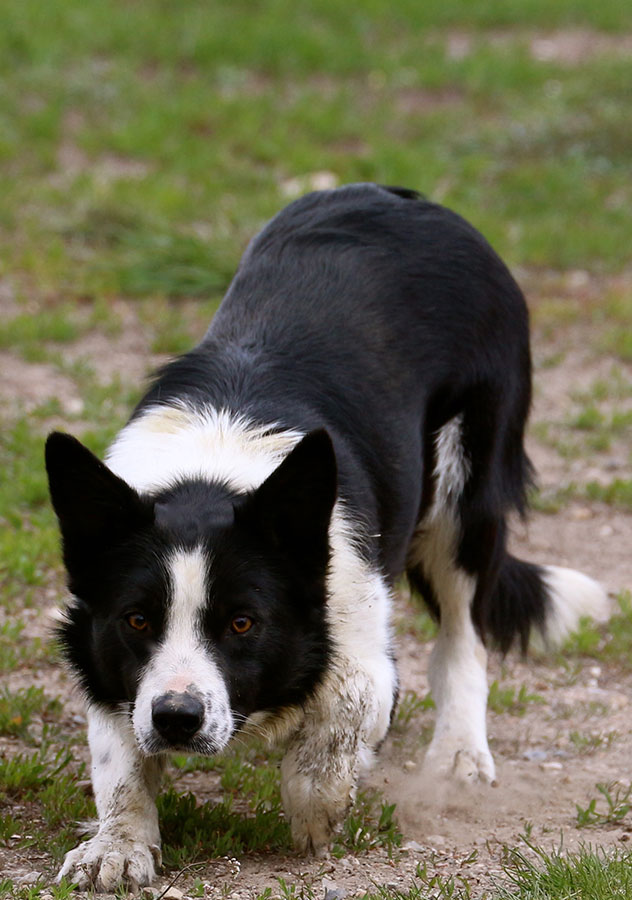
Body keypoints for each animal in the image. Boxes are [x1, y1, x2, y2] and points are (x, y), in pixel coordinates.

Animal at [45, 183, 608, 884]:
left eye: (243, 623)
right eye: (137, 620)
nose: (177, 720)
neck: (210, 475)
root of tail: (405, 197)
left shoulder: (359, 626)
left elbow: (345, 712)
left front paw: (318, 810)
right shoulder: (107, 658)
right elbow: (119, 757)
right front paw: (117, 845)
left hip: (463, 485)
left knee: (463, 635)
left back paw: (458, 754)